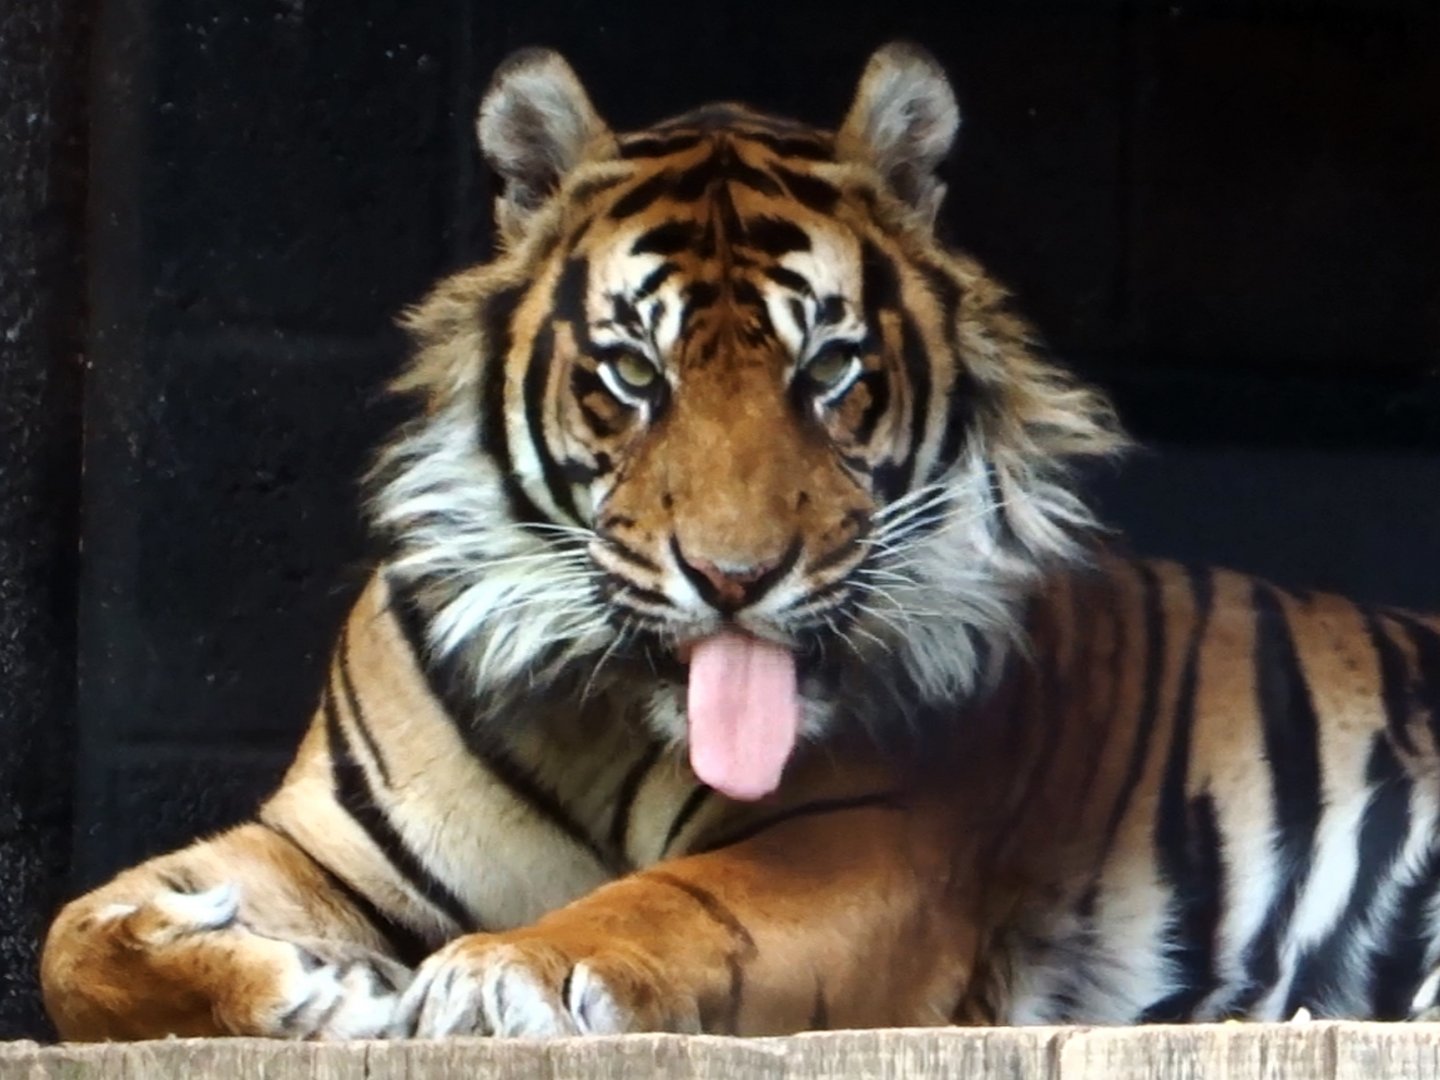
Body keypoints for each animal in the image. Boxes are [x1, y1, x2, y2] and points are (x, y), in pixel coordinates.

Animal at [39, 41, 1440, 1042]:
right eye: (632, 373)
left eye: (828, 372)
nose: (733, 578)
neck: (610, 717)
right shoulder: (321, 843)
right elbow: (70, 934)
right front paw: (299, 987)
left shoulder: (877, 838)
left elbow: (677, 904)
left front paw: (504, 974)